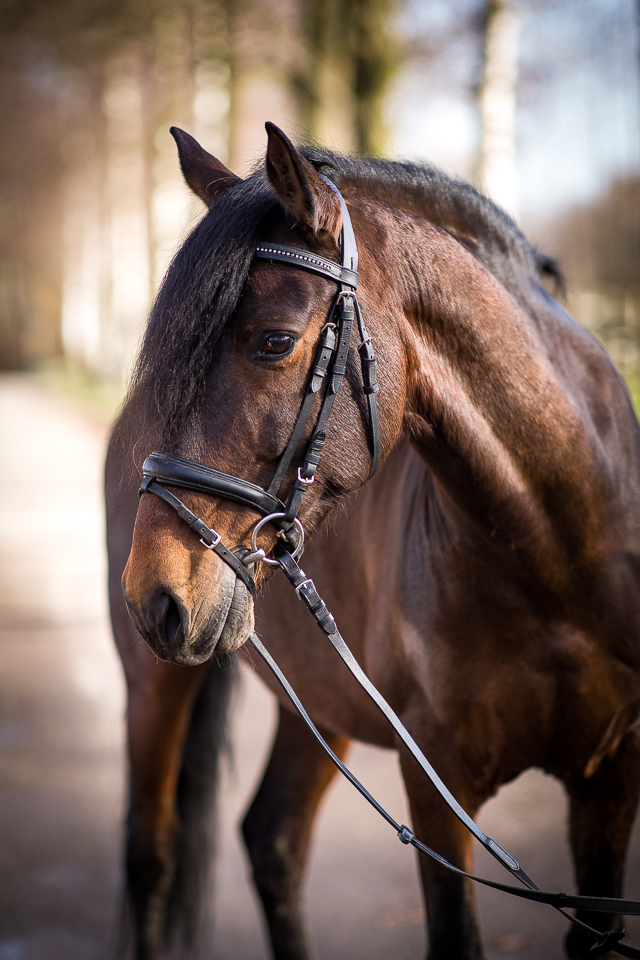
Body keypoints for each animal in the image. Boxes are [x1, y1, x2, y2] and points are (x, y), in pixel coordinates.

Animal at [107, 122, 640, 960]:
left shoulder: (612, 778)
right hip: (154, 688)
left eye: (274, 343)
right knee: (151, 856)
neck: (556, 554)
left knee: (273, 841)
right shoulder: (438, 787)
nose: (154, 595)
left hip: (321, 702)